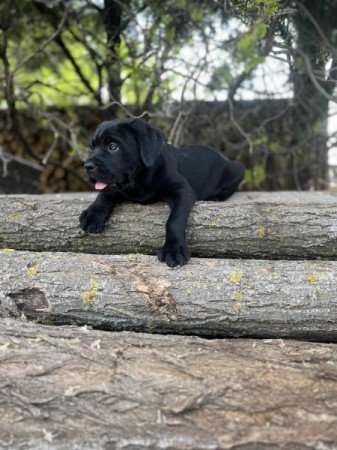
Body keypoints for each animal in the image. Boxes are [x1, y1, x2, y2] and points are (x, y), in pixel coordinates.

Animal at [80, 119, 243, 268]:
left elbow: (174, 220)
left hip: (236, 170)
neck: (140, 181)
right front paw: (92, 214)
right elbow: (104, 194)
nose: (87, 166)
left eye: (113, 147)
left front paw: (173, 249)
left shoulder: (182, 190)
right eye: (92, 147)